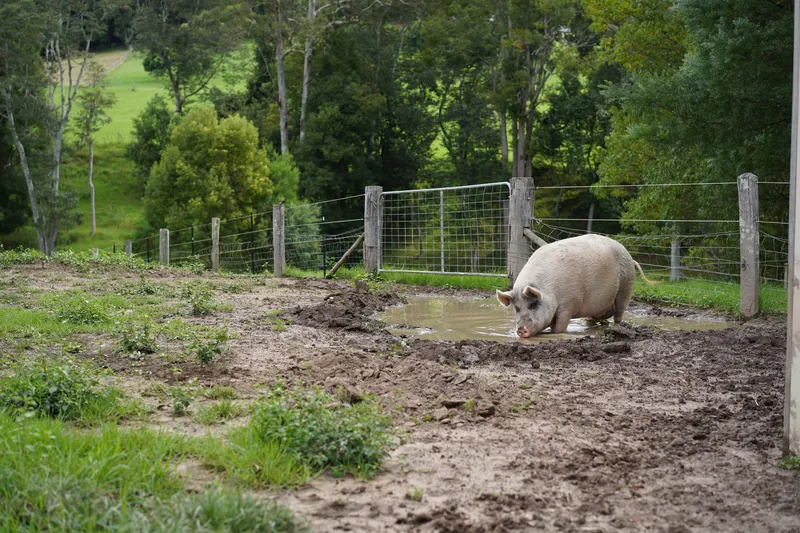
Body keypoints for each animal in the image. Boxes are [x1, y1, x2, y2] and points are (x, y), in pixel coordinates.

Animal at [496, 234, 658, 338]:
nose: (520, 330)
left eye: (533, 305)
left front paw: (554, 334)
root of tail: (630, 257)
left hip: (626, 285)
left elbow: (559, 328)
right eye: (517, 308)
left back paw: (616, 327)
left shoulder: (568, 305)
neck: (550, 291)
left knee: (619, 312)